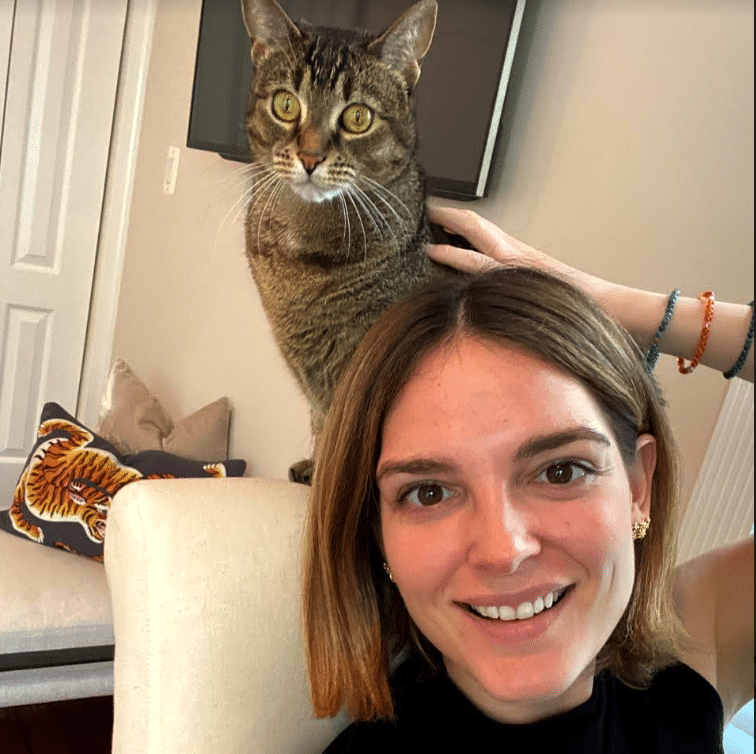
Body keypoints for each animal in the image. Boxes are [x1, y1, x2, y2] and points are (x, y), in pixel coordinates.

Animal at [240, 0, 459, 484]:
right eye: (285, 105)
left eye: (357, 117)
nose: (309, 157)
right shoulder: (313, 382)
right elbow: (324, 433)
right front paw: (315, 472)